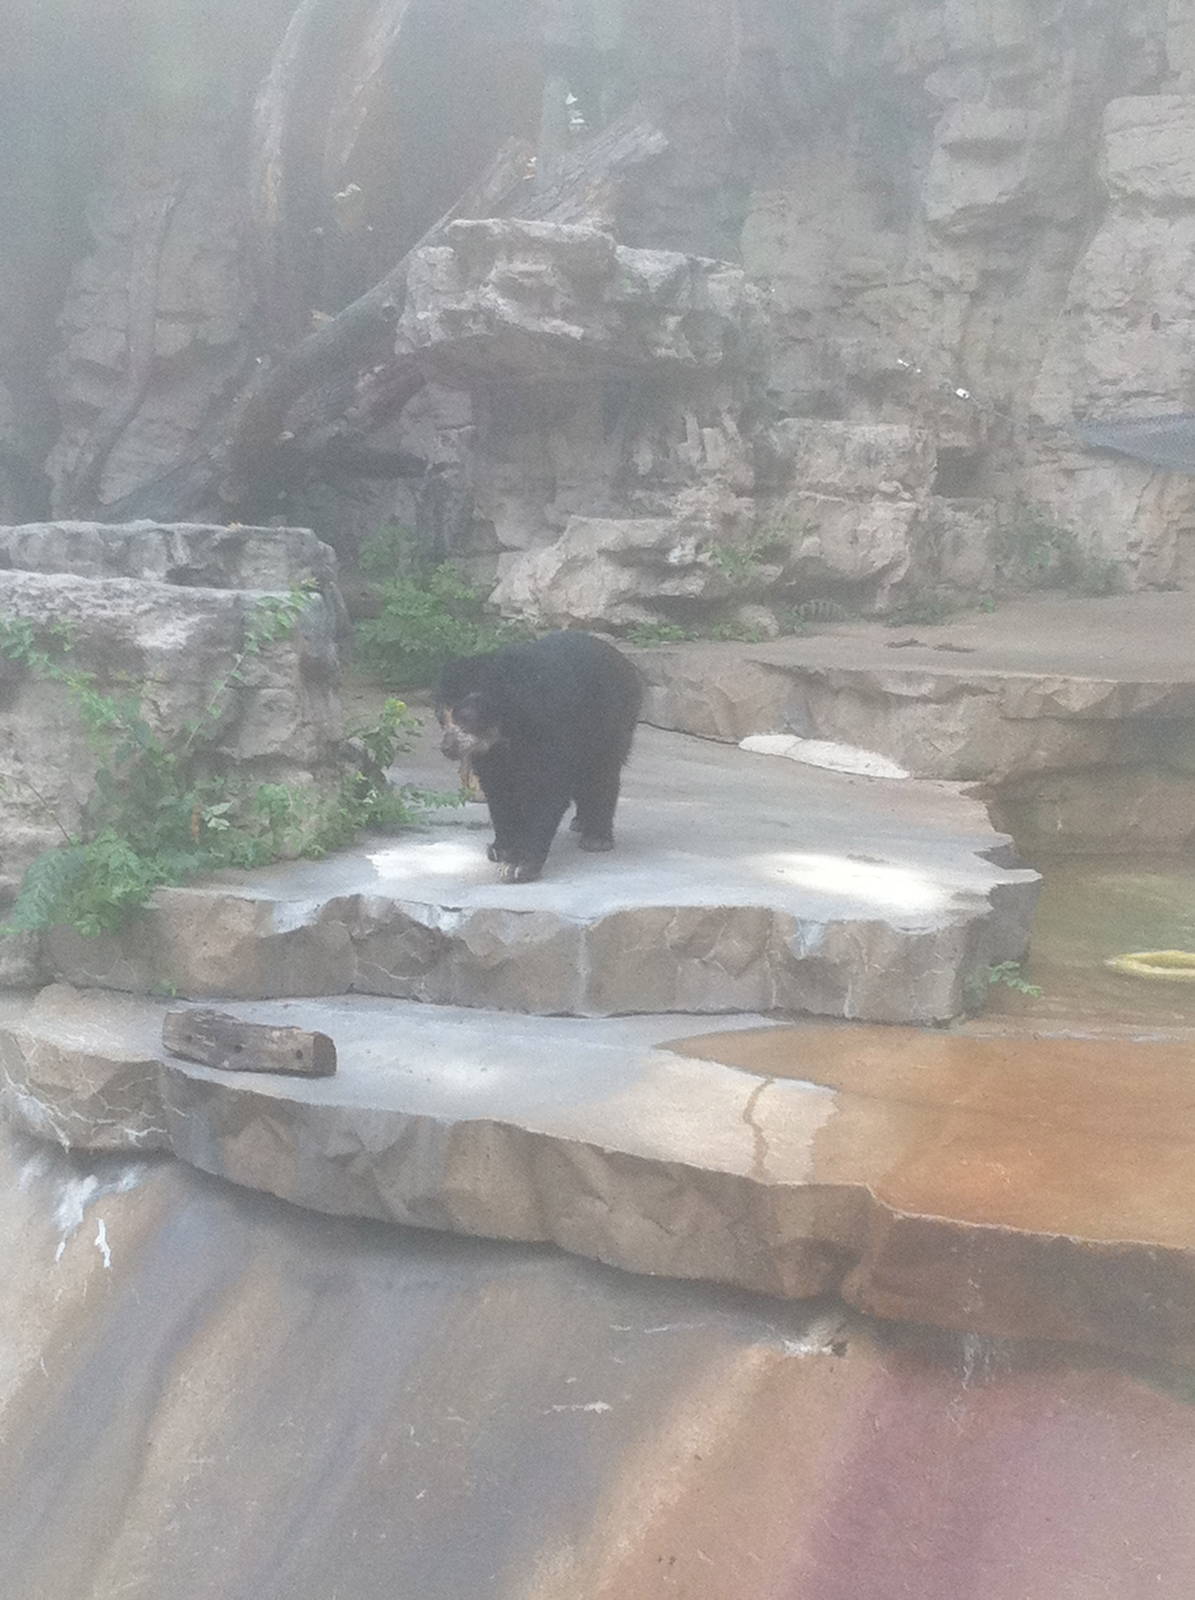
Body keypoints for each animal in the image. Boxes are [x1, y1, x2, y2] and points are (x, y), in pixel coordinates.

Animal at [436, 630, 642, 883]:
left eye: (464, 717)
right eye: (441, 718)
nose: (447, 748)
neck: (505, 728)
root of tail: (626, 663)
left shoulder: (549, 724)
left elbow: (546, 790)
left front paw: (519, 865)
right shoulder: (490, 752)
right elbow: (498, 791)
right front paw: (501, 849)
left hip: (610, 721)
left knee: (601, 772)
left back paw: (596, 837)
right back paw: (580, 822)